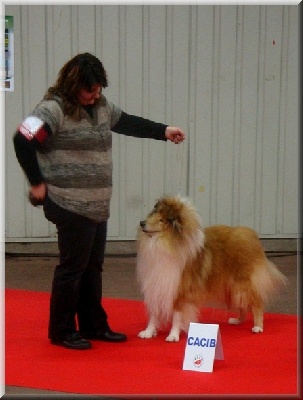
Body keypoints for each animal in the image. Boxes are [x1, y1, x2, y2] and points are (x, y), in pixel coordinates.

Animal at [137, 195, 288, 340]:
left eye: (161, 220)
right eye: (153, 214)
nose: (141, 223)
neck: (165, 243)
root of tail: (251, 235)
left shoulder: (179, 289)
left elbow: (177, 315)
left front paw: (173, 335)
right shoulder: (156, 286)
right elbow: (153, 314)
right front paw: (148, 332)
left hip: (243, 284)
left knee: (256, 304)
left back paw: (258, 327)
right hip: (232, 287)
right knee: (243, 305)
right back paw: (237, 320)